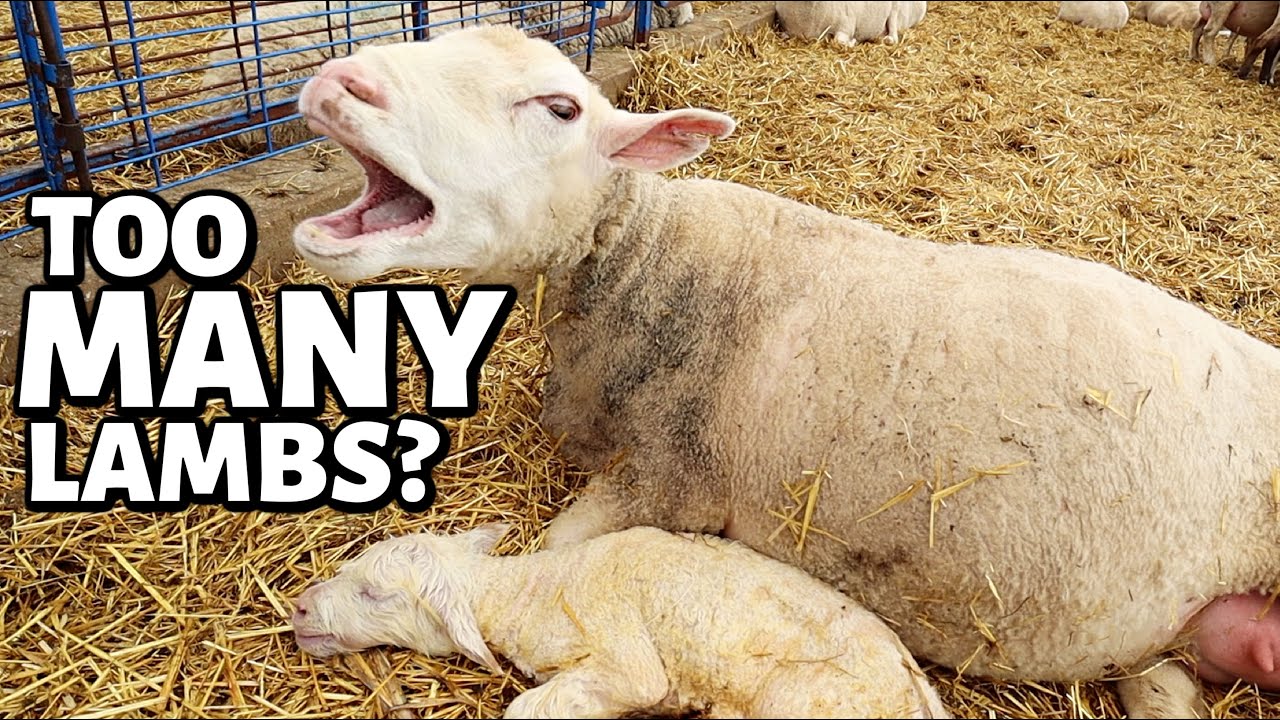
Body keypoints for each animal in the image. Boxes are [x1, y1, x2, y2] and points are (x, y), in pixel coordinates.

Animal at [291, 524, 951, 718]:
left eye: (374, 592)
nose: (299, 609)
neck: (540, 591)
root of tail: (915, 691)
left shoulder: (625, 653)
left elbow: (525, 709)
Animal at [776, 1, 926, 47]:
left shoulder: (845, 24)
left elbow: (838, 41)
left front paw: (853, 42)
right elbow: (783, 35)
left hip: (895, 9)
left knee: (893, 37)